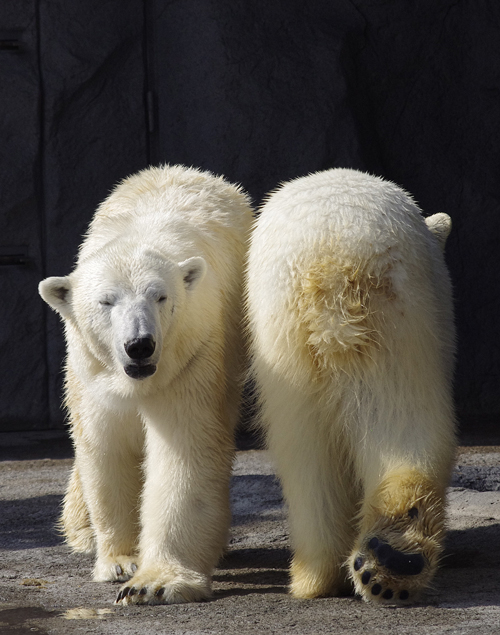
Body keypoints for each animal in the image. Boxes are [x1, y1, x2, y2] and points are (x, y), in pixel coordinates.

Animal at [38, 165, 252, 608]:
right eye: (106, 301)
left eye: (160, 297)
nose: (139, 345)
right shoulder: (95, 372)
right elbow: (107, 446)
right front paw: (121, 561)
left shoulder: (192, 354)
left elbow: (184, 450)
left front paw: (153, 583)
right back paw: (81, 532)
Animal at [247, 169, 458, 608]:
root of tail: (332, 260)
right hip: (398, 321)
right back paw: (368, 565)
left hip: (294, 338)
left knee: (309, 453)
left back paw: (368, 565)